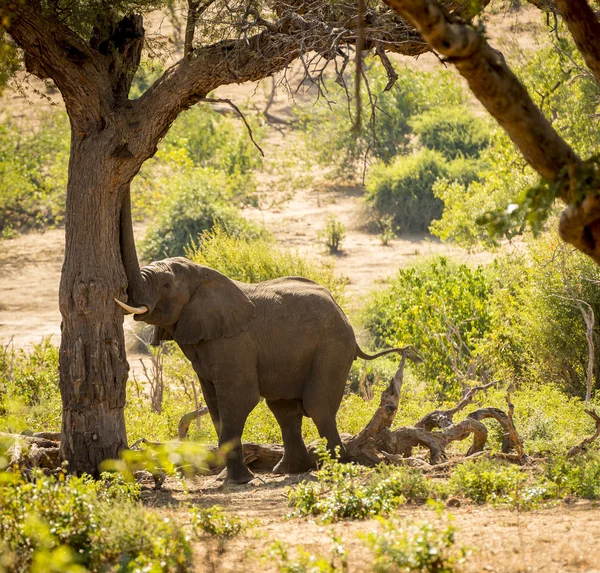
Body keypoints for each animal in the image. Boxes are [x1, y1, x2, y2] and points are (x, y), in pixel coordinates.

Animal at [115, 256, 408, 480]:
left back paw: (340, 465)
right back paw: (288, 471)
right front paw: (228, 478)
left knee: (317, 406)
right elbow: (215, 405)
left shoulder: (234, 342)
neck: (202, 275)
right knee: (284, 409)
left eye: (166, 284)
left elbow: (240, 399)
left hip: (333, 349)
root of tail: (345, 317)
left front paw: (239, 481)